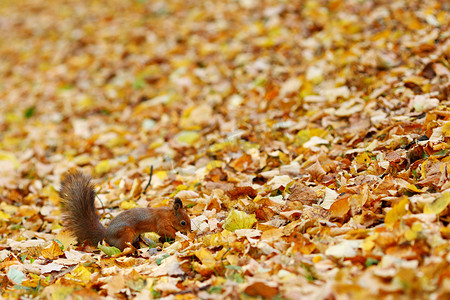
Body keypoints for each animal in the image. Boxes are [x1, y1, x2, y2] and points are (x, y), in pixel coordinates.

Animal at [58, 170, 192, 250]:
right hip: (125, 233)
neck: (168, 215)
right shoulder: (161, 223)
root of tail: (106, 236)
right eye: (183, 222)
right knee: (121, 248)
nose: (190, 231)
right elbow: (166, 231)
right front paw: (180, 235)